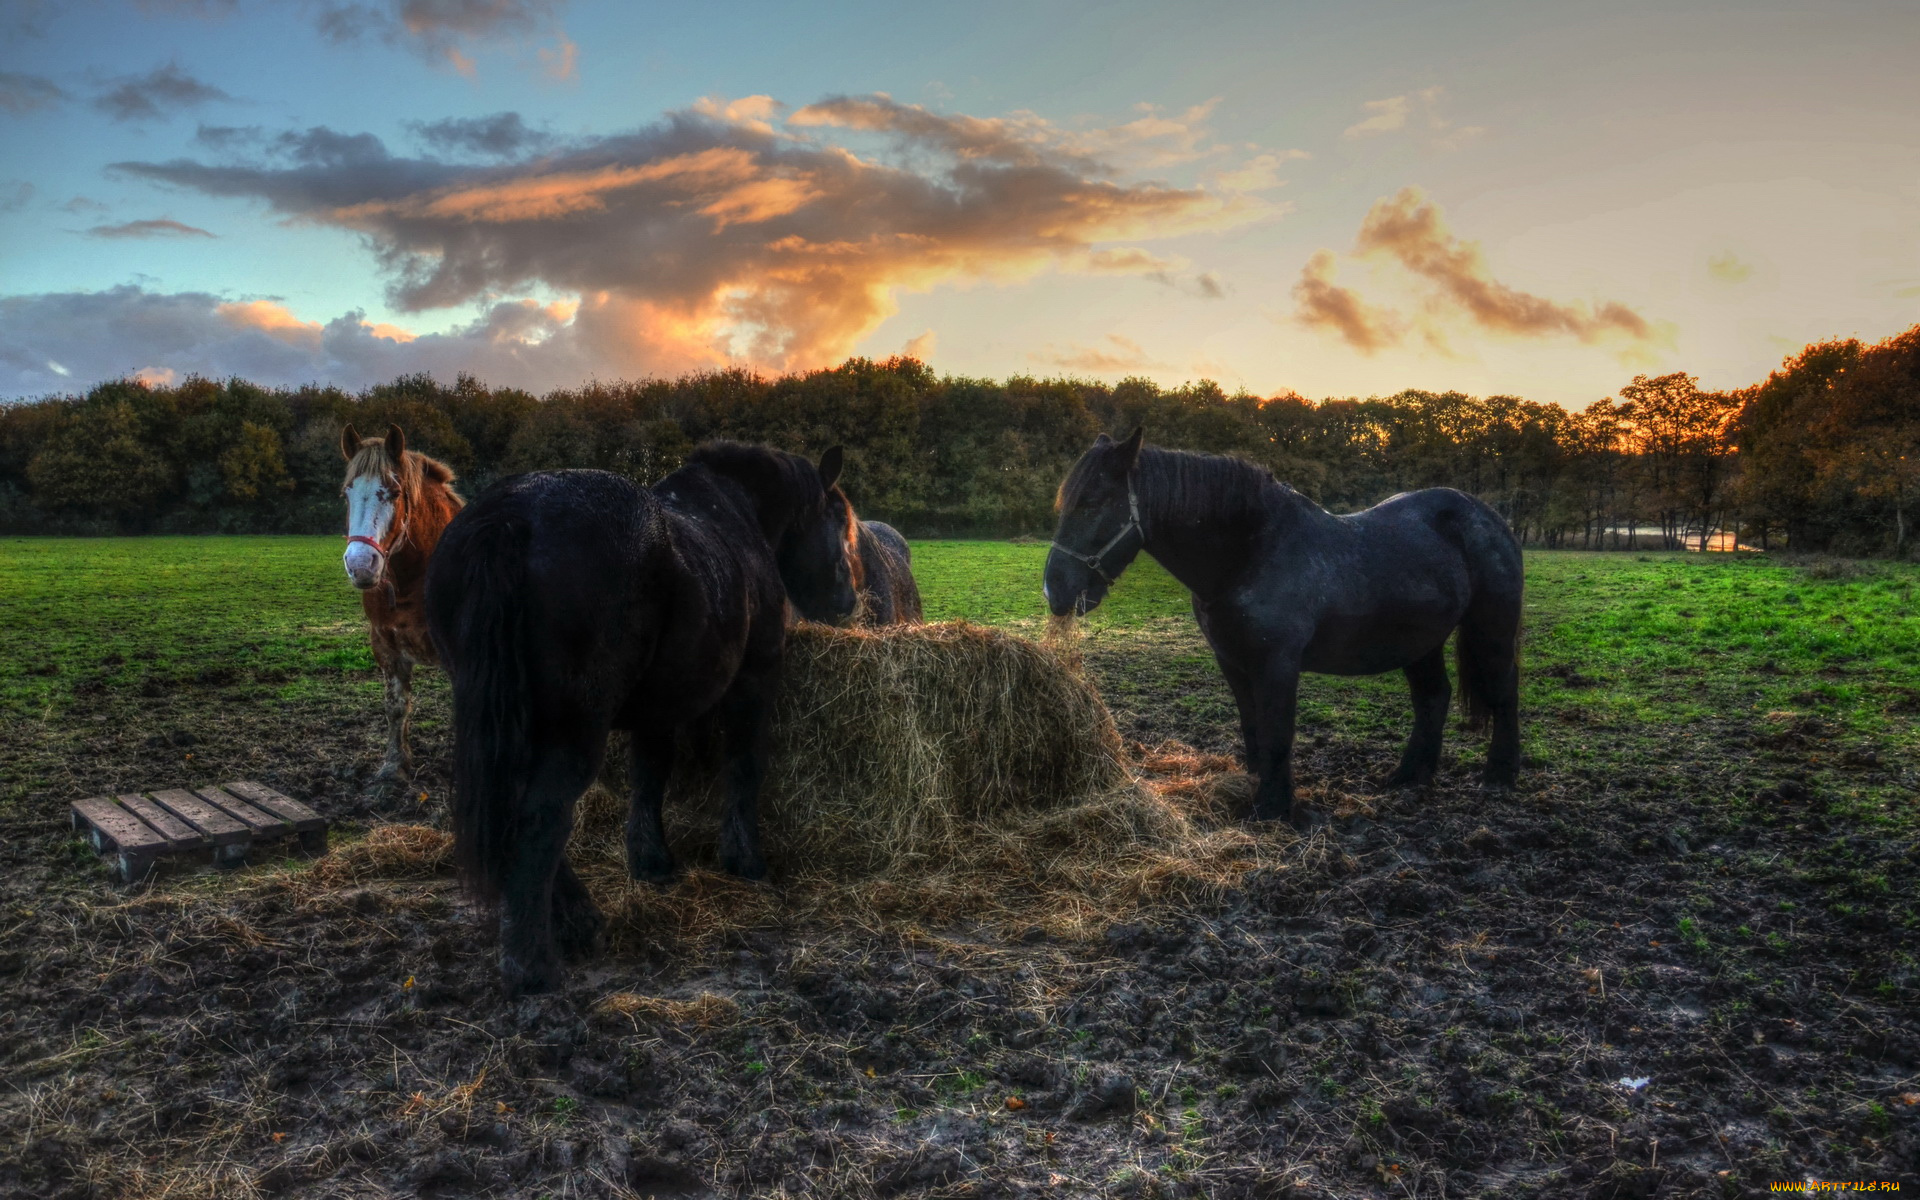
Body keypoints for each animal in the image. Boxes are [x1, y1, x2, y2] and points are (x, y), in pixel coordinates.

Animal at [339, 426, 462, 783]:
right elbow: (396, 706)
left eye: (393, 492)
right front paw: (394, 766)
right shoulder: (386, 645)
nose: (360, 565)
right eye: (346, 494)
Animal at [435, 439, 864, 990]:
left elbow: (649, 776)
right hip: (575, 728)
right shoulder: (755, 681)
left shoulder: (659, 708)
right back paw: (532, 963)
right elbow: (744, 766)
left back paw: (578, 923)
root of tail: (509, 516)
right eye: (839, 520)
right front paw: (745, 858)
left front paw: (650, 860)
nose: (848, 600)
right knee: (540, 818)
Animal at [1044, 426, 1520, 829]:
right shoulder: (1233, 662)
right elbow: (1254, 728)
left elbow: (1277, 733)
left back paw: (1500, 774)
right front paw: (1256, 791)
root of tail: (1492, 518)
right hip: (1420, 643)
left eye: (1093, 503)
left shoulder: (1277, 664)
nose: (1055, 591)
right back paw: (1410, 777)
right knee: (1433, 698)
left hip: (1491, 629)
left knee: (1503, 690)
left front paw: (1274, 809)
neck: (1249, 552)